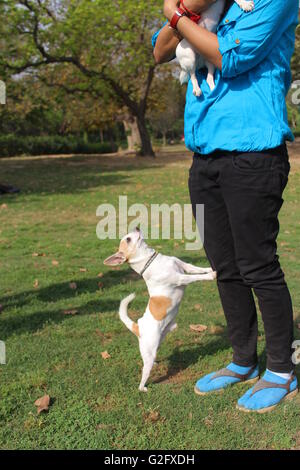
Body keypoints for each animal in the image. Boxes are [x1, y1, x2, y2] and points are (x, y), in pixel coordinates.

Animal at [103, 228, 216, 392]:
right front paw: (211, 275)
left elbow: (197, 269)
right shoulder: (180, 278)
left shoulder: (185, 266)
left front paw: (209, 268)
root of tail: (137, 327)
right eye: (128, 239)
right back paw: (143, 388)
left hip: (160, 340)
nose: (137, 227)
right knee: (144, 372)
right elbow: (195, 277)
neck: (153, 261)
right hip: (148, 352)